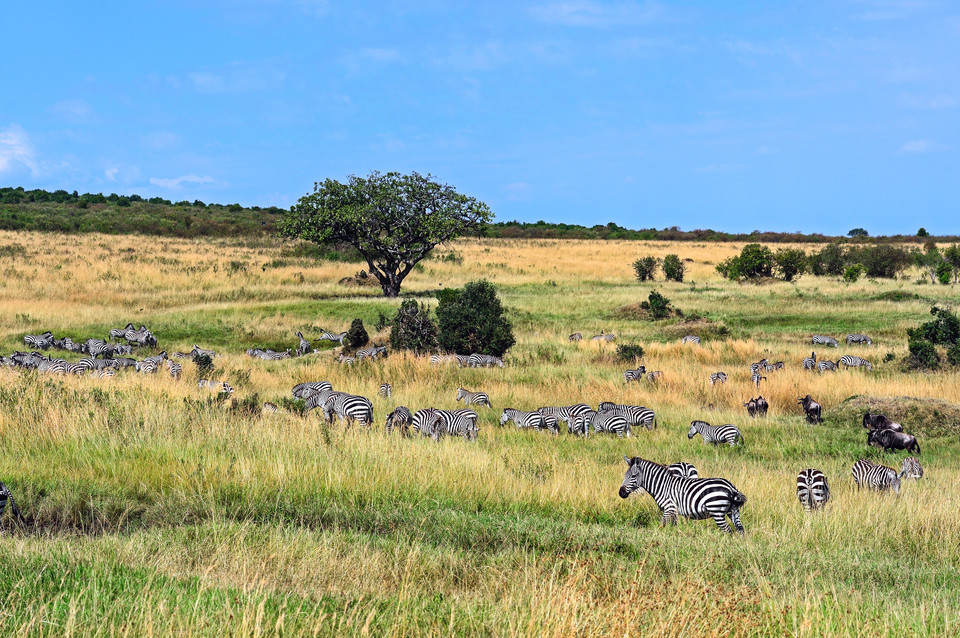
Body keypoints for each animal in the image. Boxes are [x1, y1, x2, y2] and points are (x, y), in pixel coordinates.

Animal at [620, 460, 748, 536]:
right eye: (625, 475)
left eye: (633, 476)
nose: (621, 492)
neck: (662, 485)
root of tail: (730, 487)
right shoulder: (674, 511)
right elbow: (674, 526)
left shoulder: (669, 508)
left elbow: (662, 525)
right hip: (733, 511)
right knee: (740, 529)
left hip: (717, 511)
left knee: (728, 531)